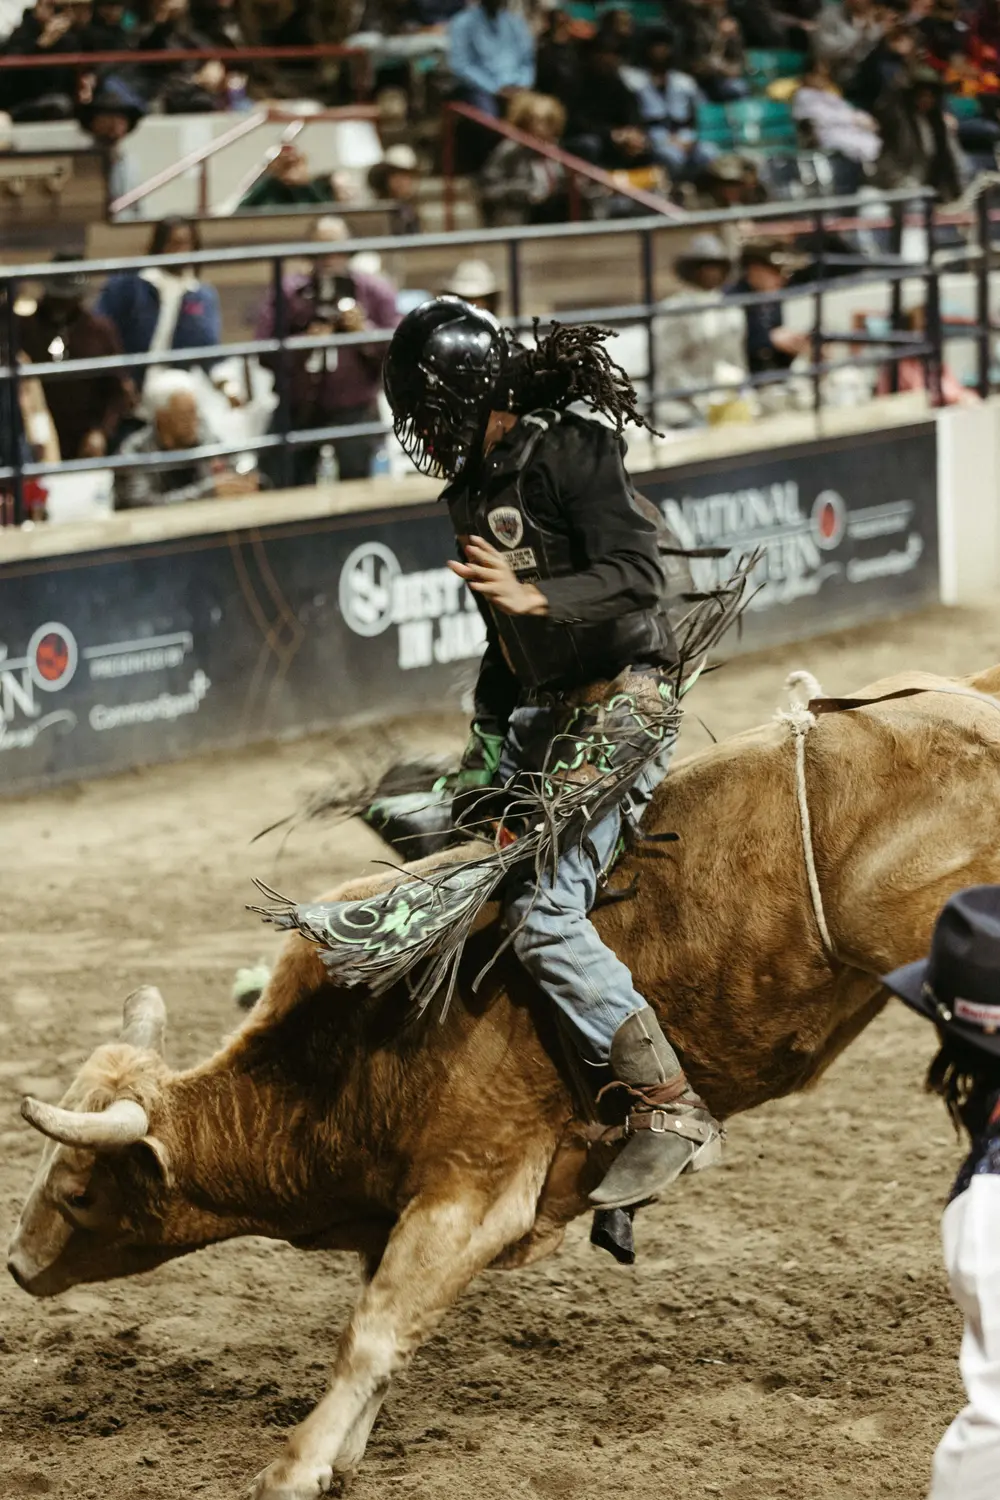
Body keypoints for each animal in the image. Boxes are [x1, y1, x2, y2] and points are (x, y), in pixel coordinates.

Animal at [10, 664, 1000, 1500]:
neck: (355, 1053)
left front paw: (292, 1467)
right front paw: (342, 1456)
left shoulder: (472, 1193)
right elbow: (386, 1336)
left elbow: (372, 1333)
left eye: (80, 1187)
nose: (17, 1264)